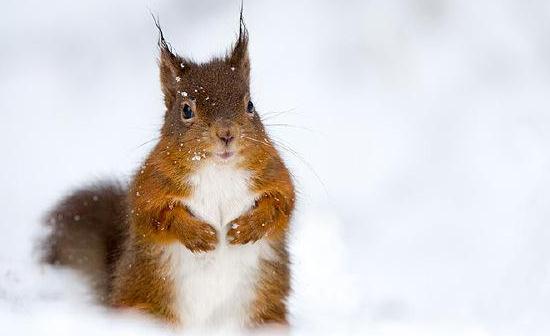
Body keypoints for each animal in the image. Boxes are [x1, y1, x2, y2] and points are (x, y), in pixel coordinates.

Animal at [42, 14, 298, 330]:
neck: (218, 170)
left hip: (264, 317)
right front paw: (201, 236)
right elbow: (156, 215)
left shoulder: (273, 173)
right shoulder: (150, 183)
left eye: (250, 105)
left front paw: (244, 229)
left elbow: (282, 203)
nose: (227, 133)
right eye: (186, 110)